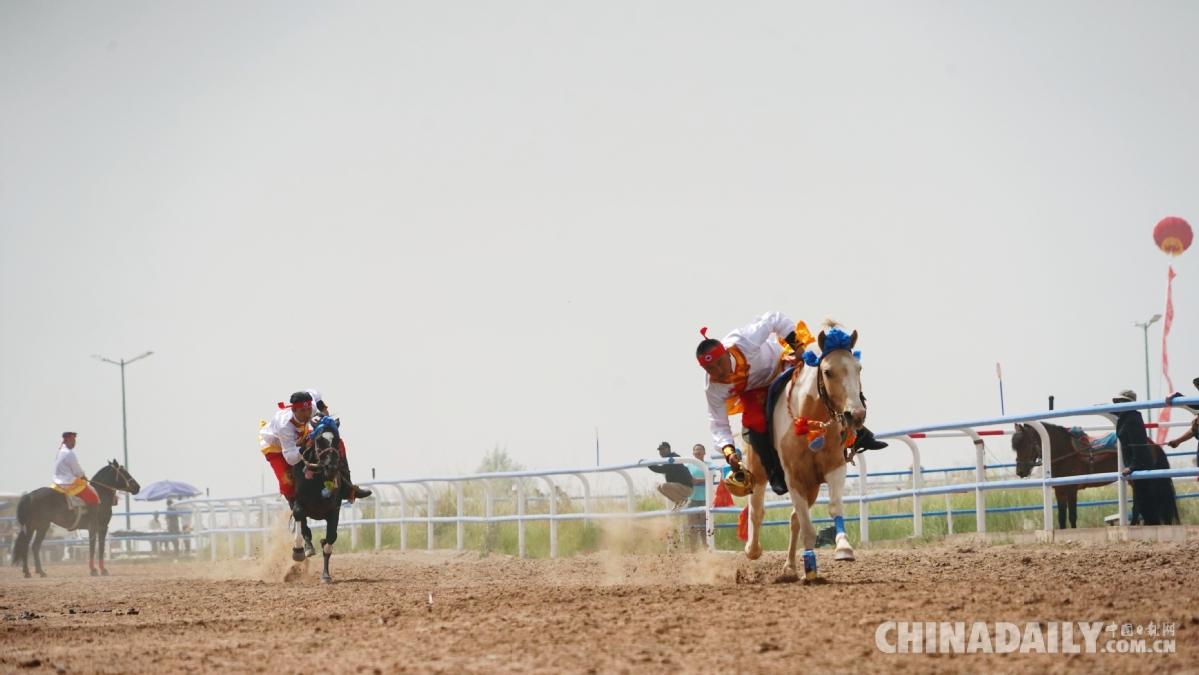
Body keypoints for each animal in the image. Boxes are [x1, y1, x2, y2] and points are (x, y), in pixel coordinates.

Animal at [11, 460, 141, 578]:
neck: (100, 495)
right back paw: (30, 572)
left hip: (38, 527)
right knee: (27, 546)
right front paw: (96, 570)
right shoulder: (97, 527)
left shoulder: (100, 528)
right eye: (124, 472)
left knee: (33, 546)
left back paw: (38, 572)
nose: (137, 487)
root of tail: (28, 496)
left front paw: (100, 569)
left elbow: (99, 547)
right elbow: (96, 547)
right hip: (36, 526)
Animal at [290, 421, 344, 583]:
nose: (331, 467)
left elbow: (330, 538)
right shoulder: (298, 502)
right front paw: (298, 550)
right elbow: (299, 516)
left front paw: (326, 575)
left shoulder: (334, 510)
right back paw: (307, 548)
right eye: (319, 440)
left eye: (336, 440)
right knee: (304, 527)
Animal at [742, 323, 865, 581]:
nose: (856, 414)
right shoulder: (793, 478)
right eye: (828, 372)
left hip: (812, 486)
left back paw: (789, 567)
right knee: (757, 512)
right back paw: (752, 550)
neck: (811, 423)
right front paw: (810, 567)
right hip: (758, 471)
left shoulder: (834, 468)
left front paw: (843, 548)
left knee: (794, 519)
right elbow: (807, 528)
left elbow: (833, 508)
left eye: (858, 368)